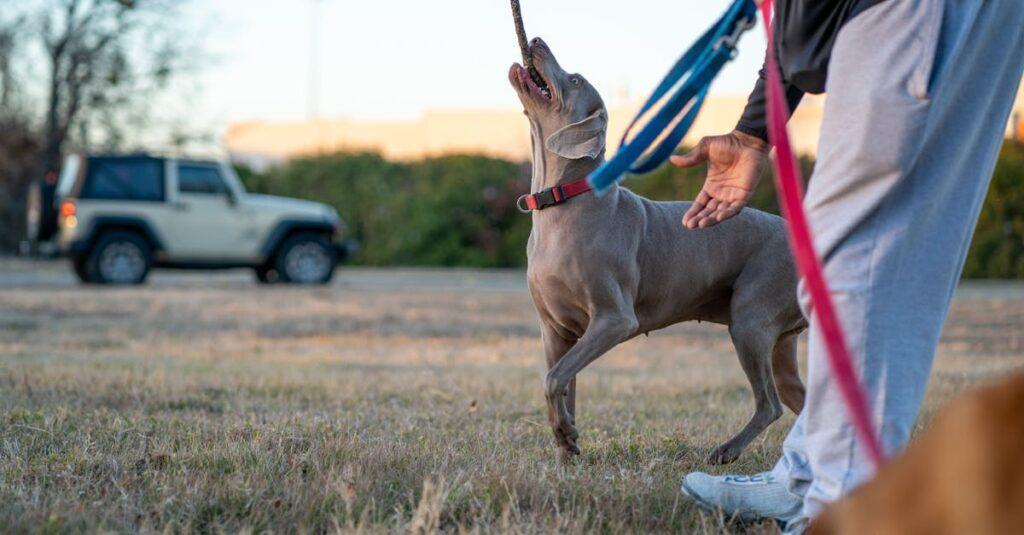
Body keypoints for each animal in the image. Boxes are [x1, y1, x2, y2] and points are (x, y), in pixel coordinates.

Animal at [509, 37, 806, 461]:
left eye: (575, 79)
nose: (535, 40)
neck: (560, 201)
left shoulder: (614, 319)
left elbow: (553, 379)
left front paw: (567, 436)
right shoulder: (556, 330)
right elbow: (562, 384)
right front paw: (567, 450)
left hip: (751, 317)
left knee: (770, 405)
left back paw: (725, 451)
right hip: (780, 339)